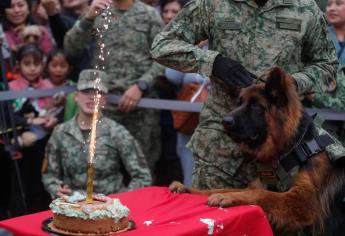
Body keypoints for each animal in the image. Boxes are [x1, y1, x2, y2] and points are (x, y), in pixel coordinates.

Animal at [169, 67, 344, 233]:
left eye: (255, 105)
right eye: (239, 103)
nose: (224, 121)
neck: (292, 146)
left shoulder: (303, 202)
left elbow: (261, 194)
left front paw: (228, 197)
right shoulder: (259, 185)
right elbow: (221, 188)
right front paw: (189, 189)